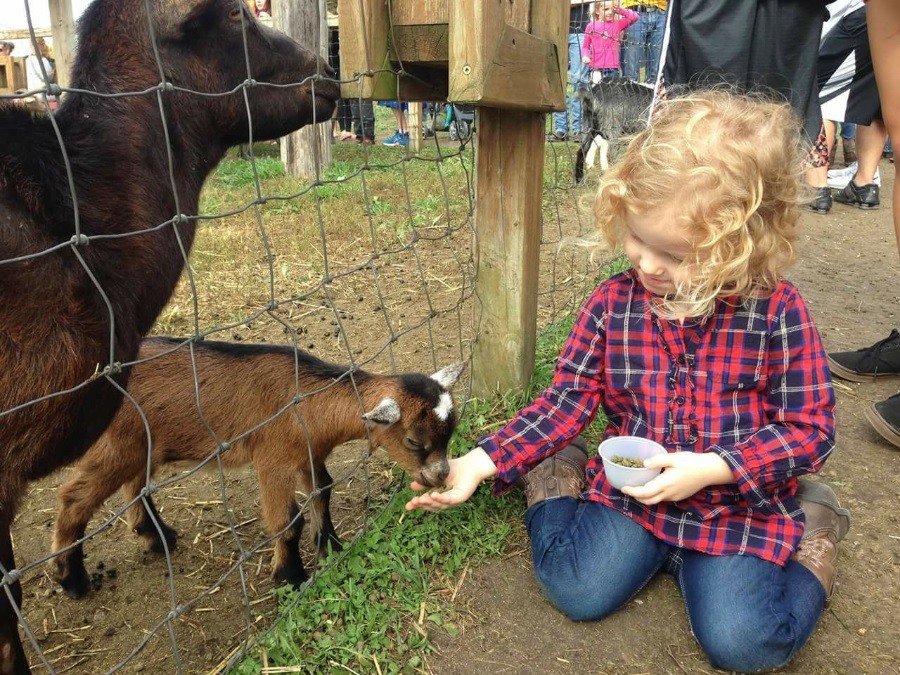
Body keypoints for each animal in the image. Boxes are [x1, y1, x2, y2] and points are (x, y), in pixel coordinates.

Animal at [53, 338, 464, 596]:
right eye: (415, 442)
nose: (441, 476)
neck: (309, 403)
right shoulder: (273, 460)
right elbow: (288, 521)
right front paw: (291, 576)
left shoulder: (309, 453)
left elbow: (323, 491)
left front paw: (330, 545)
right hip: (120, 442)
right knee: (74, 497)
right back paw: (72, 580)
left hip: (143, 445)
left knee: (136, 486)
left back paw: (157, 536)